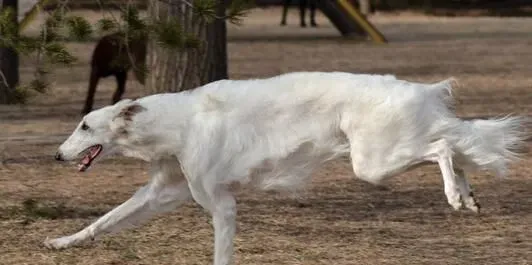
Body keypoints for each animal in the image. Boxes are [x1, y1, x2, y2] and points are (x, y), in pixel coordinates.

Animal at [45, 71, 528, 262]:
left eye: (85, 125)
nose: (57, 155)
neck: (175, 122)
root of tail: (419, 89)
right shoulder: (161, 193)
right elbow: (102, 222)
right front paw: (60, 242)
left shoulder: (220, 204)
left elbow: (221, 253)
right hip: (381, 157)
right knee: (454, 147)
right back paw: (466, 196)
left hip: (371, 164)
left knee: (444, 146)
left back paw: (454, 195)